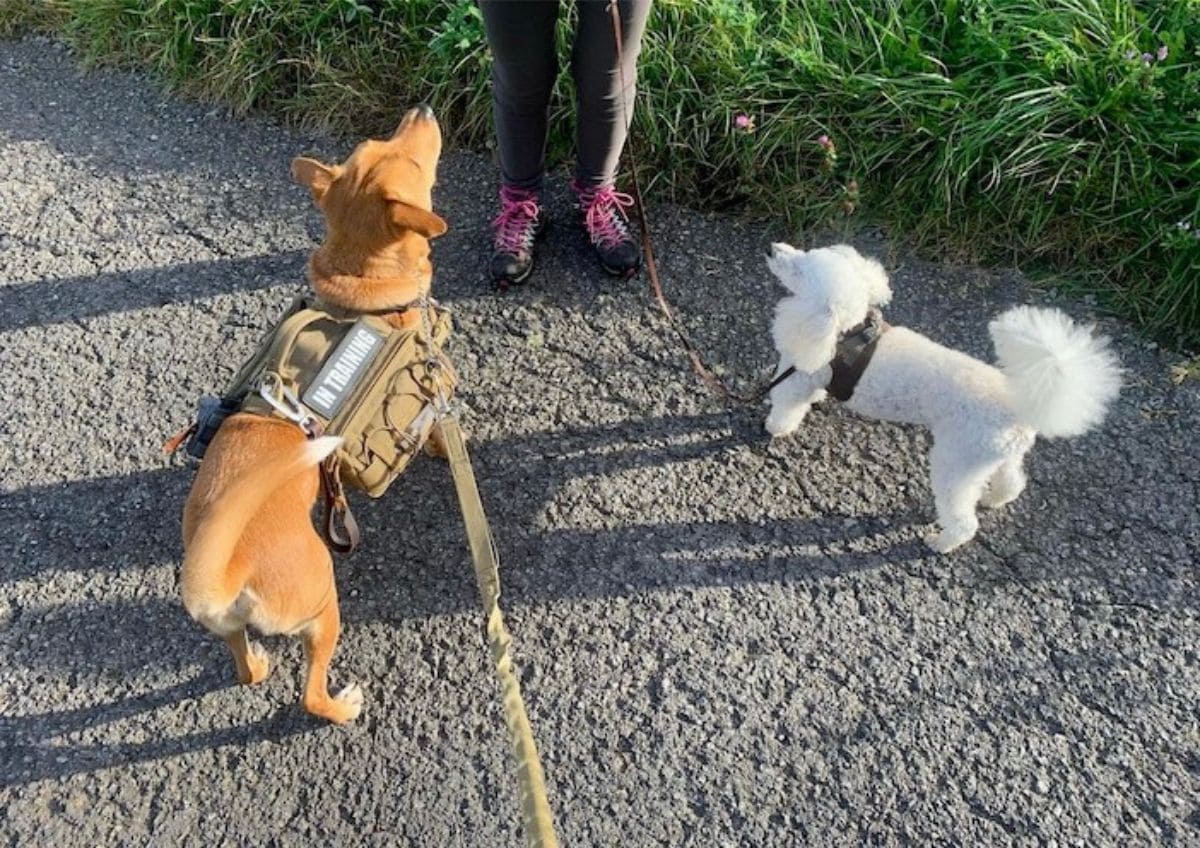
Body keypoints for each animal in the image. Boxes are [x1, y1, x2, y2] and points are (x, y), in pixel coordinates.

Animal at [182, 106, 451, 724]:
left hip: (231, 627)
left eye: (379, 140)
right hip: (322, 604)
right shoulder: (434, 390)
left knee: (242, 663)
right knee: (309, 692)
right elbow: (442, 436)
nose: (422, 108)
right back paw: (341, 705)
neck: (362, 285)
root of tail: (224, 573)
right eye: (415, 160)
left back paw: (255, 665)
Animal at [768, 242, 1123, 554]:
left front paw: (775, 428)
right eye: (805, 252)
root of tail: (1020, 409)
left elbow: (785, 404)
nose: (773, 248)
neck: (846, 330)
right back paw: (995, 499)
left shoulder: (799, 375)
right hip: (996, 455)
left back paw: (942, 543)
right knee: (1011, 481)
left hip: (957, 460)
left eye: (799, 268)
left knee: (963, 517)